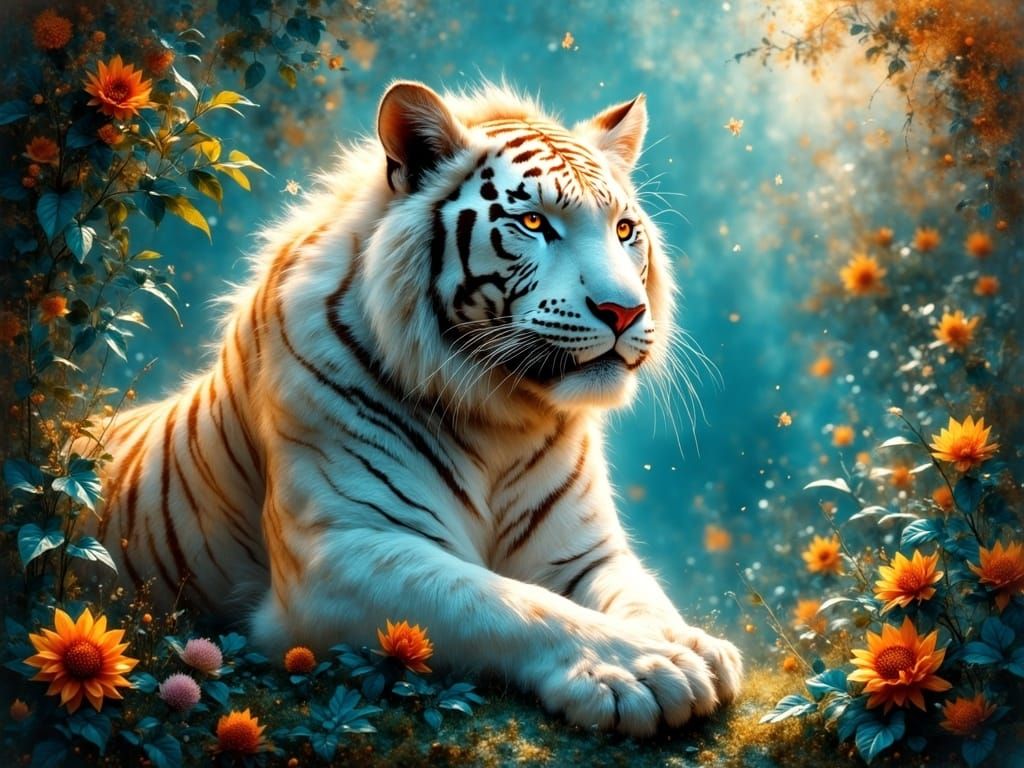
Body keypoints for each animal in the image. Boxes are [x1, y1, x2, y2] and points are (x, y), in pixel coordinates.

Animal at [84, 81, 743, 736]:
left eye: (625, 229)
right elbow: (507, 604)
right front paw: (644, 667)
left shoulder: (582, 552)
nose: (625, 311)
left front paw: (694, 643)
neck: (503, 414)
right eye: (534, 222)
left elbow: (639, 594)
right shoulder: (338, 553)